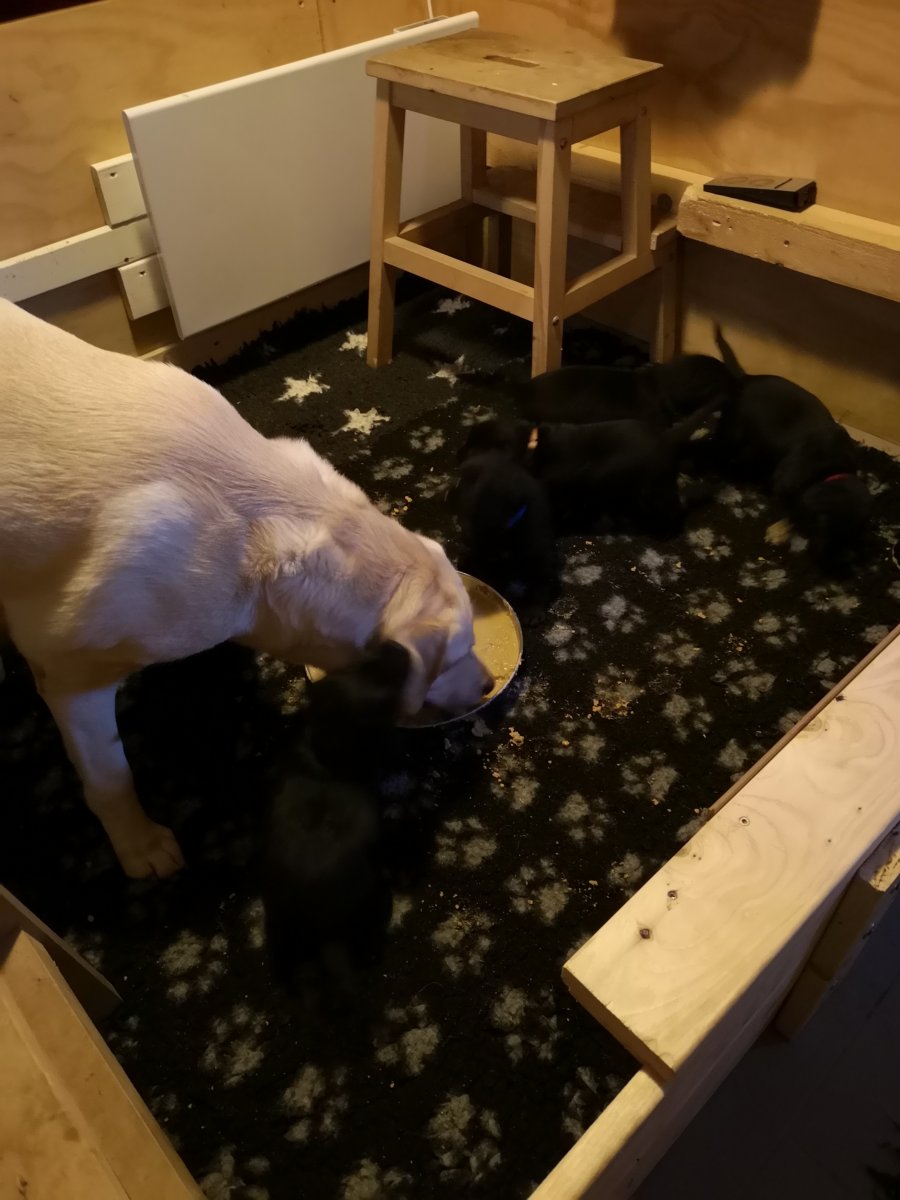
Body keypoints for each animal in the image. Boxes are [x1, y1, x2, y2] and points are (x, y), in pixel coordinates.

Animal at [713, 327, 871, 569]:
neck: (832, 469)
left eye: (849, 537)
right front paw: (781, 530)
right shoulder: (787, 480)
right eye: (828, 530)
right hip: (732, 431)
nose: (833, 565)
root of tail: (745, 379)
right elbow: (796, 507)